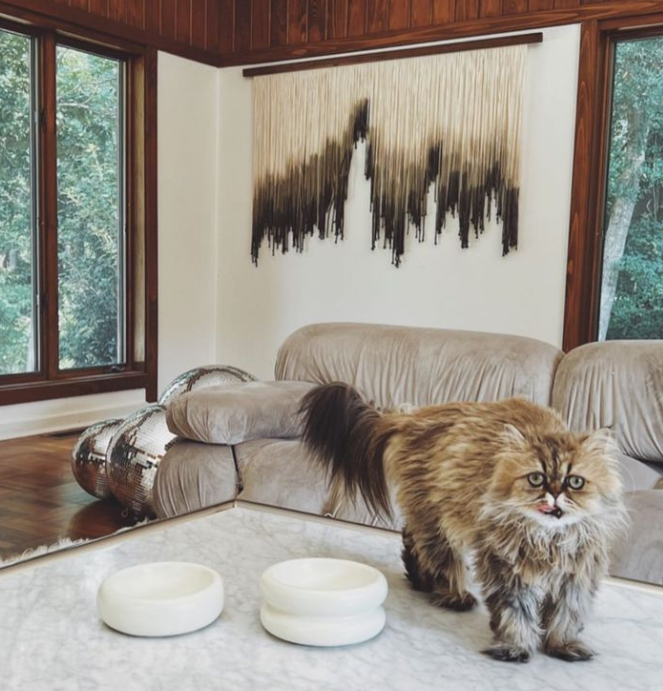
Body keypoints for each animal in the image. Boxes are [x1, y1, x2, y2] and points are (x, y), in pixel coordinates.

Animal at [300, 384, 628, 664]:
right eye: (536, 478)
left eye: (575, 482)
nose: (555, 494)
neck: (547, 539)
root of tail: (411, 416)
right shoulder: (504, 566)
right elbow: (516, 612)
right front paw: (515, 647)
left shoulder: (578, 574)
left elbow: (566, 614)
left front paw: (563, 645)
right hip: (439, 519)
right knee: (439, 557)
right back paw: (453, 595)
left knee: (412, 540)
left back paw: (422, 581)